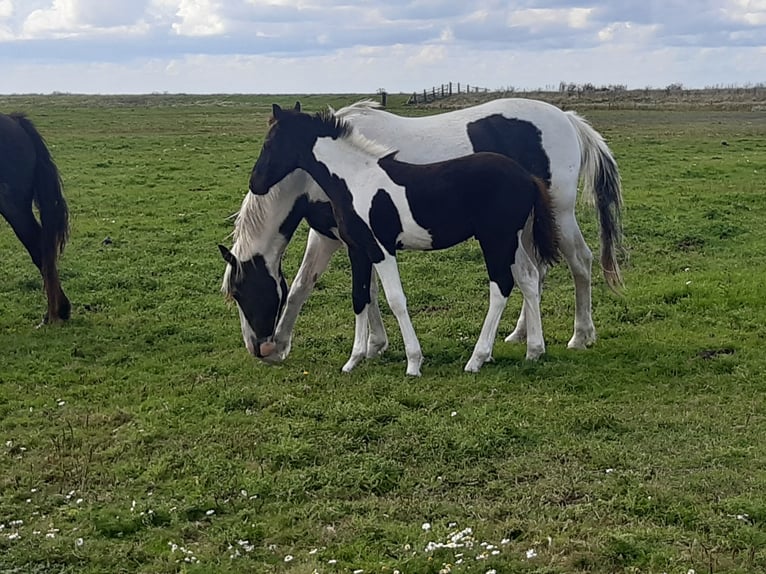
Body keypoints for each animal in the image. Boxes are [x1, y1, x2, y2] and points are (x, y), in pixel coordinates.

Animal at [220, 99, 624, 366]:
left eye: (239, 293)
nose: (257, 348)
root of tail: (568, 119)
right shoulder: (359, 241)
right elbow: (365, 291)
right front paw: (375, 345)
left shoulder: (334, 236)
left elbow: (306, 285)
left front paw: (285, 344)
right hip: (522, 231)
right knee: (534, 274)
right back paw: (522, 337)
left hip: (558, 217)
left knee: (580, 263)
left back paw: (579, 335)